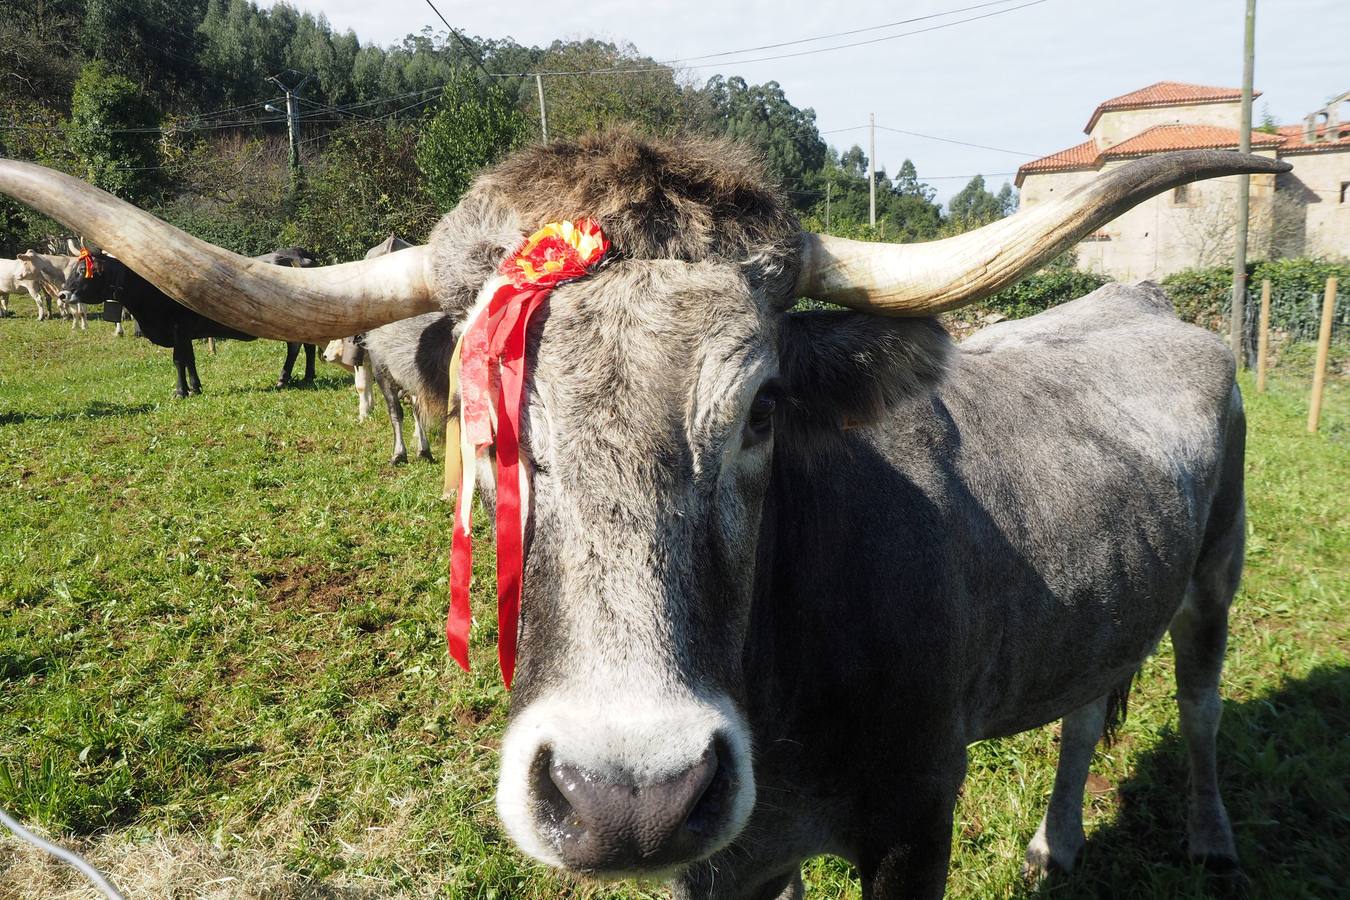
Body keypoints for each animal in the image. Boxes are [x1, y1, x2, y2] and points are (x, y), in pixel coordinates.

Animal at [2, 138, 1285, 895]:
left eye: (764, 407)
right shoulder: (730, 862)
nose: (628, 797)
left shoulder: (918, 825)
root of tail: (1143, 301)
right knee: (1084, 712)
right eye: (481, 416)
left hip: (1217, 572)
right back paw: (1055, 843)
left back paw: (1215, 837)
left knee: (1201, 704)